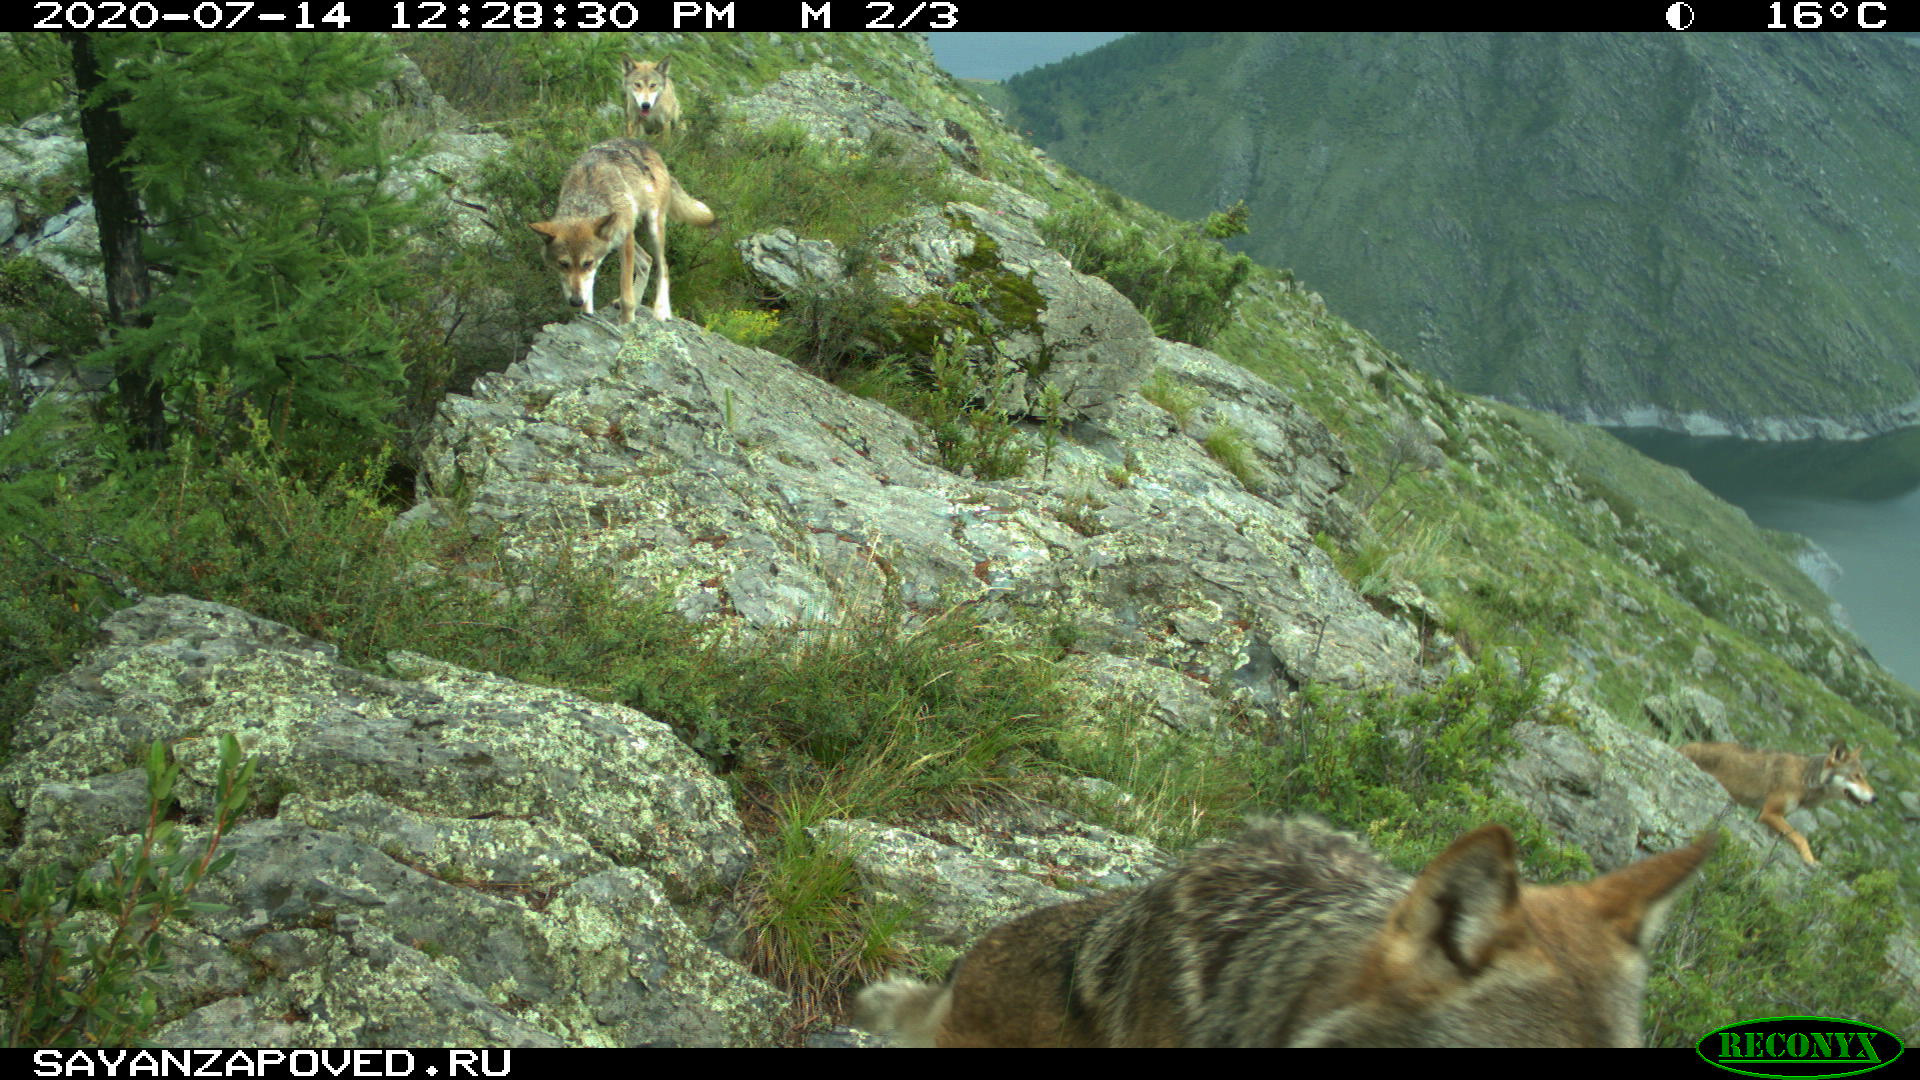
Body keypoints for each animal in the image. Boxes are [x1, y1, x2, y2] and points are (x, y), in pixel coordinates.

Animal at [529, 136, 718, 319]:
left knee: (662, 267)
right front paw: (587, 313)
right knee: (647, 260)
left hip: (651, 228)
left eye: (587, 263)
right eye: (563, 264)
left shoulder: (624, 240)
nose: (575, 301)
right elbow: (590, 291)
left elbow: (627, 297)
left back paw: (661, 311)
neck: (586, 201)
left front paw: (627, 322)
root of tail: (651, 149)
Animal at [1681, 734, 1873, 860]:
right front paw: (1811, 861)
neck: (1804, 780)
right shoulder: (1769, 813)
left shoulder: (1768, 816)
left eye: (1864, 776)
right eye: (1856, 776)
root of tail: (1681, 747)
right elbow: (1802, 838)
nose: (1875, 798)